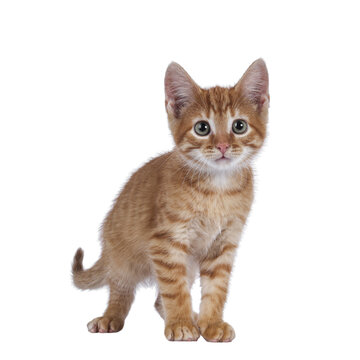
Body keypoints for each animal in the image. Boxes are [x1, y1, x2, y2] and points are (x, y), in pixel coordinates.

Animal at [73, 58, 268, 340]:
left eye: (239, 126)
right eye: (202, 128)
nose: (222, 146)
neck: (217, 190)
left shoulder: (224, 244)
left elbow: (216, 289)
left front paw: (211, 323)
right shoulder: (167, 241)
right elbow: (174, 290)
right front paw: (180, 324)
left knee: (157, 300)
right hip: (124, 257)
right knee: (121, 288)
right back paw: (111, 317)